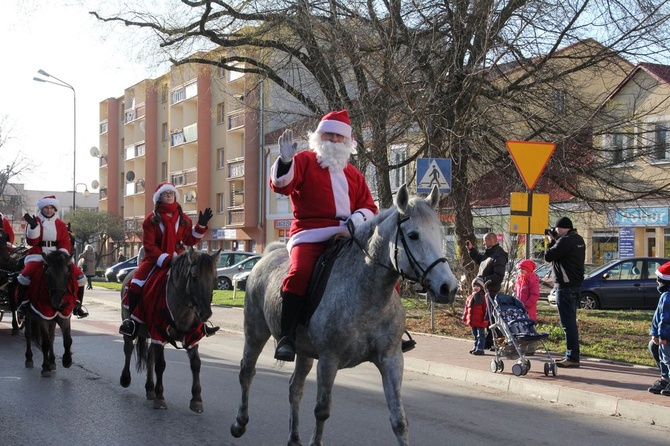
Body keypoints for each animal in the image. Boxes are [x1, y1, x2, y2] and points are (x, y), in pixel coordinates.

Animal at [119, 247, 222, 412]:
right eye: (194, 278)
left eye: (215, 279)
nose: (205, 313)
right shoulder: (158, 334)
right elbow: (161, 365)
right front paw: (160, 397)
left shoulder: (192, 337)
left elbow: (196, 364)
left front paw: (197, 399)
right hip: (130, 323)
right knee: (128, 348)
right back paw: (126, 378)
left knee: (150, 357)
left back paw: (150, 388)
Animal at [232, 185, 462, 446]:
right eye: (413, 235)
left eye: (441, 233)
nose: (449, 287)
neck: (369, 297)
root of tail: (268, 254)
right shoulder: (328, 360)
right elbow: (322, 410)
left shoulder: (391, 359)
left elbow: (399, 420)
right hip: (255, 333)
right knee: (247, 372)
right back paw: (239, 422)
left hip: (304, 351)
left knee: (295, 388)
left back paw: (294, 437)